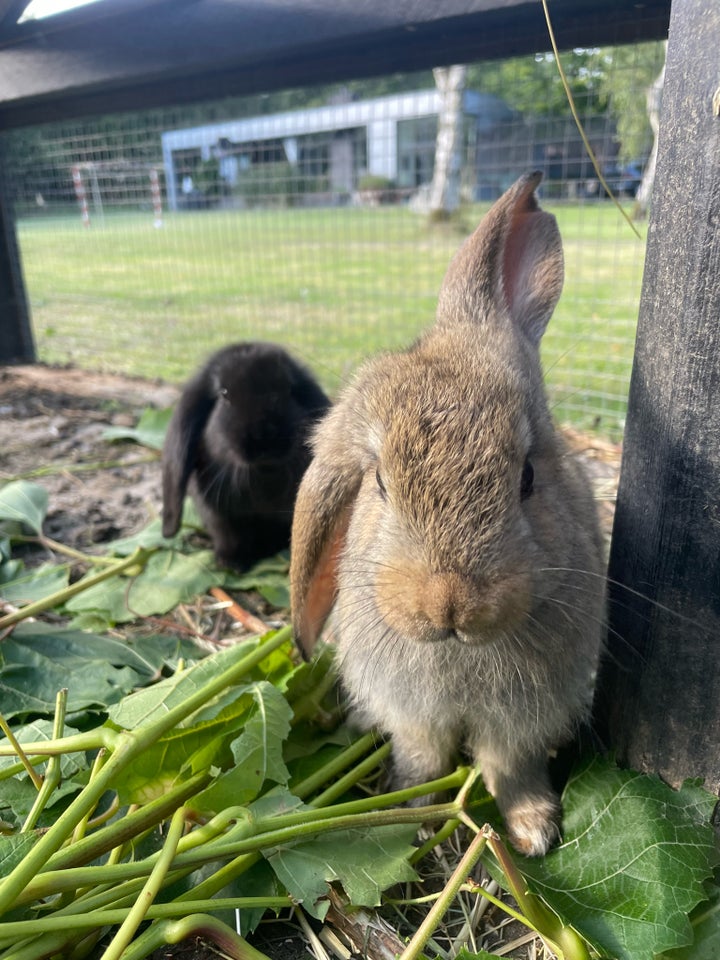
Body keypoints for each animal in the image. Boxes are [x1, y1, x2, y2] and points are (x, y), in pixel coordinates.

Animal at [162, 340, 330, 568]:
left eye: (287, 388)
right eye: (223, 393)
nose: (263, 438)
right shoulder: (218, 517)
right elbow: (229, 537)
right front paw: (230, 564)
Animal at [290, 172, 604, 856]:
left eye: (528, 477)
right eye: (380, 483)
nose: (450, 603)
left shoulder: (522, 722)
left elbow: (510, 767)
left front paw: (534, 831)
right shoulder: (414, 715)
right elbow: (424, 759)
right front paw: (413, 812)